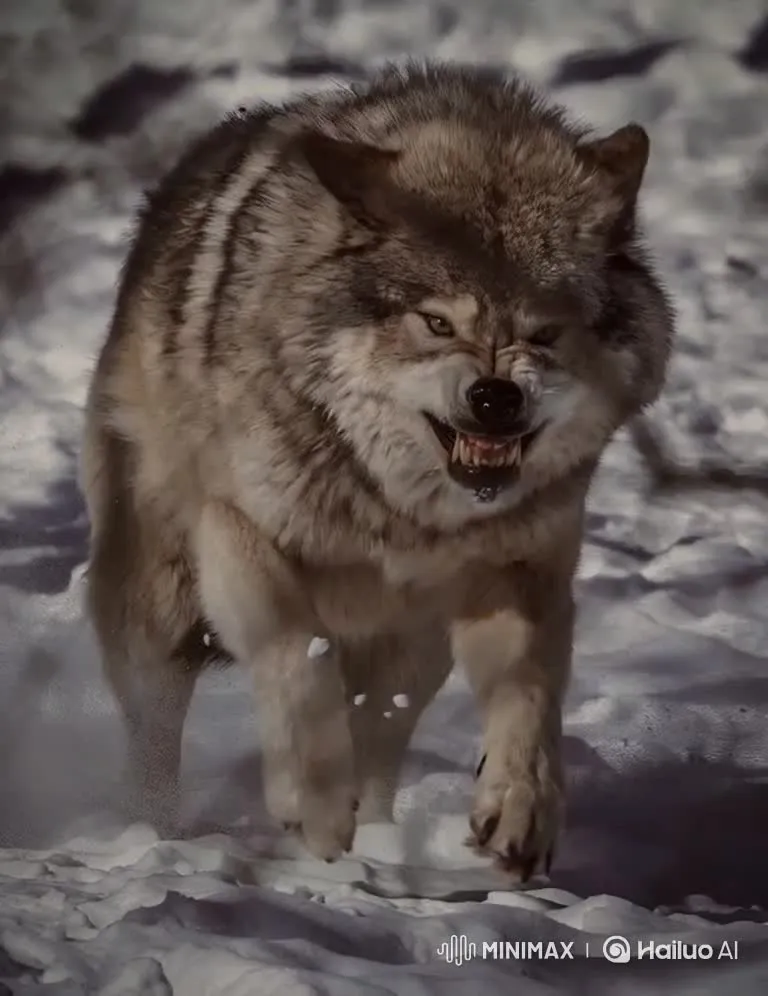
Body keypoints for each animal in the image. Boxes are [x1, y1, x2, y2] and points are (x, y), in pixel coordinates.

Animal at [80, 62, 674, 879]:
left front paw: (520, 810)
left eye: (544, 333)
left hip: (411, 645)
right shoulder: (241, 535)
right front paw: (313, 807)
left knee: (382, 733)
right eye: (437, 323)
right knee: (156, 731)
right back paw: (156, 837)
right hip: (160, 606)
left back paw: (383, 844)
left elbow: (528, 700)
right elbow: (297, 661)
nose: (496, 397)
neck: (399, 508)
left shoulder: (521, 572)